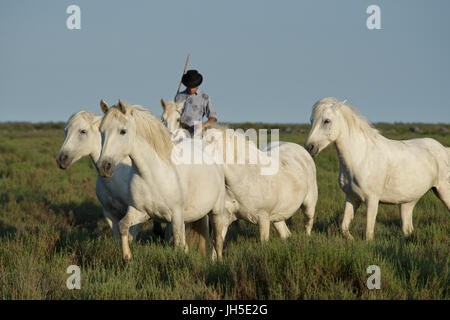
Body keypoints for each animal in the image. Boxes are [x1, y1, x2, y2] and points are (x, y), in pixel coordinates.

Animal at [96, 100, 227, 260]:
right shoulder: (140, 212)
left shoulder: (176, 217)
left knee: (218, 241)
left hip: (216, 211)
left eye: (123, 131)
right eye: (101, 131)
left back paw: (219, 261)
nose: (104, 167)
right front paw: (127, 257)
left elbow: (179, 245)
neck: (153, 174)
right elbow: (123, 226)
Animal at [304, 97, 448, 240]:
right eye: (311, 120)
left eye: (326, 121)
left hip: (443, 192)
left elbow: (368, 232)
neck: (361, 157)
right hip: (407, 203)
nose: (309, 147)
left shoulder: (372, 199)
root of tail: (444, 149)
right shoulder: (352, 197)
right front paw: (351, 240)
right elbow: (344, 227)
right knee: (407, 229)